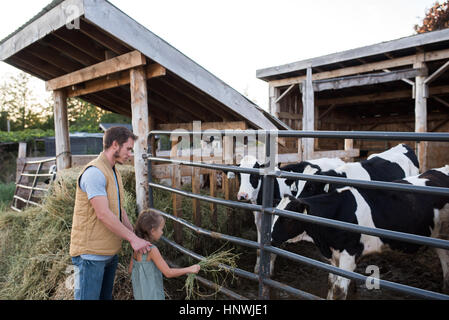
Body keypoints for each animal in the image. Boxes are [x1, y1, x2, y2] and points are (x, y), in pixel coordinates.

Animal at [272, 166, 448, 298]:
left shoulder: (349, 254)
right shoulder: (334, 255)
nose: (271, 238)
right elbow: (331, 283)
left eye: (287, 219)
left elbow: (338, 290)